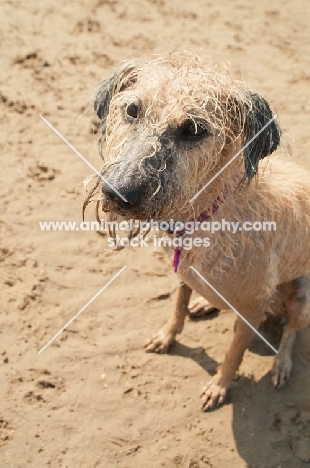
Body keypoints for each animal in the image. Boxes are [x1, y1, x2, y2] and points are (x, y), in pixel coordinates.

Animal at [89, 51, 310, 410]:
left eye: (194, 129)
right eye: (132, 109)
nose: (118, 192)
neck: (209, 213)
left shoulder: (252, 309)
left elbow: (233, 353)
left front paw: (219, 386)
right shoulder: (183, 271)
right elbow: (178, 305)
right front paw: (167, 335)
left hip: (303, 300)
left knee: (291, 332)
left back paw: (281, 364)